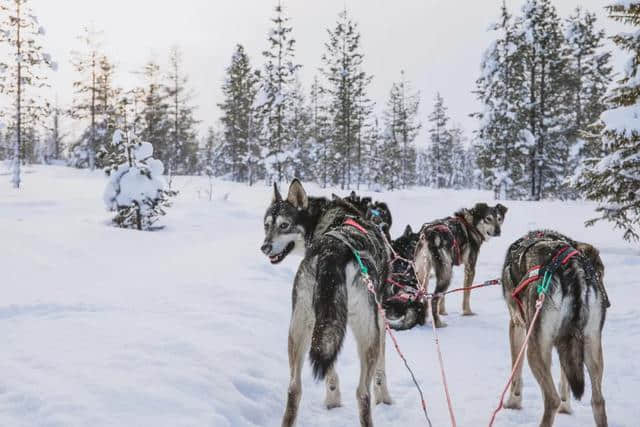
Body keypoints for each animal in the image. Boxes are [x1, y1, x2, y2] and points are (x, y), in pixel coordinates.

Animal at [258, 181, 390, 427]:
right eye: (267, 225)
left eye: (284, 225)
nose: (265, 247)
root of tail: (332, 251)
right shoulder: (380, 318)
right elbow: (381, 370)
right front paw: (384, 398)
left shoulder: (324, 325)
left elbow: (329, 367)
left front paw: (332, 399)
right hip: (368, 334)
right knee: (362, 393)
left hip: (299, 327)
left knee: (294, 388)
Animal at [412, 202, 508, 330]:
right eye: (488, 218)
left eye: (499, 219)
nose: (498, 231)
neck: (471, 224)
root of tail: (430, 234)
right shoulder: (470, 267)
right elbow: (467, 293)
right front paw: (467, 312)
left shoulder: (450, 266)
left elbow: (444, 297)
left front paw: (443, 311)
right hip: (445, 274)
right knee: (434, 298)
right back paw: (438, 323)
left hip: (425, 273)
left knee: (425, 296)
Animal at [500, 231, 608, 427]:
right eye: (600, 275)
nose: (608, 302)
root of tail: (574, 270)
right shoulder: (566, 341)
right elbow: (566, 378)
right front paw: (566, 407)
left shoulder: (517, 325)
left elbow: (516, 372)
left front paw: (513, 403)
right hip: (591, 344)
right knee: (598, 400)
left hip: (534, 348)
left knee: (551, 399)